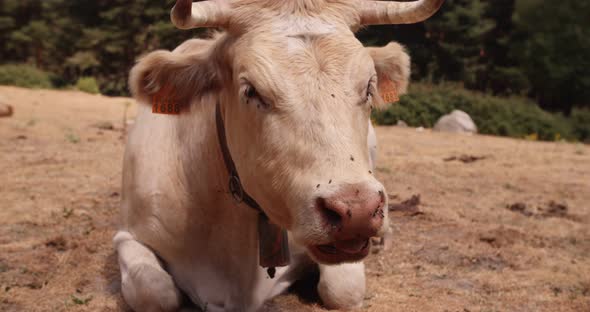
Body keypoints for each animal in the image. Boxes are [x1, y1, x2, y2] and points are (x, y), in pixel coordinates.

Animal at [115, 1, 444, 310]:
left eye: (369, 87)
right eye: (251, 90)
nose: (358, 211)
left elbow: (343, 290)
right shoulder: (129, 235)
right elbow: (153, 291)